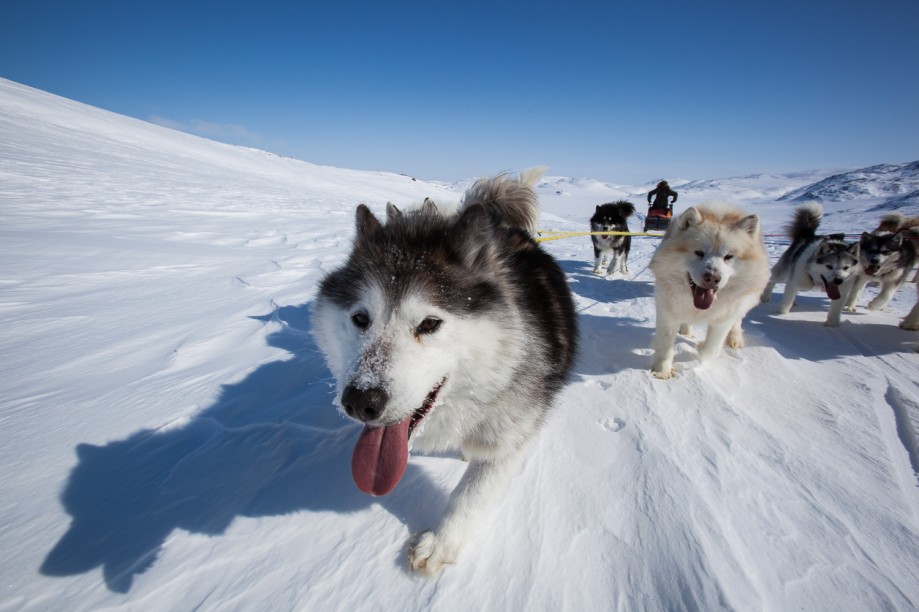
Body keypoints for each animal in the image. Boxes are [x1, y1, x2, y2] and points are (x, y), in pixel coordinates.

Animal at [312, 170, 580, 576]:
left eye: (430, 323)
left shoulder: (510, 436)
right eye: (360, 318)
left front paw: (441, 541)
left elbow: (471, 493)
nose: (360, 400)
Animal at [652, 203, 772, 378]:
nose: (712, 277)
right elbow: (665, 345)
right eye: (699, 252)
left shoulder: (724, 319)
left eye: (728, 256)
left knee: (738, 319)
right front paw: (661, 370)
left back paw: (735, 338)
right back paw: (686, 330)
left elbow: (711, 349)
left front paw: (701, 348)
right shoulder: (667, 311)